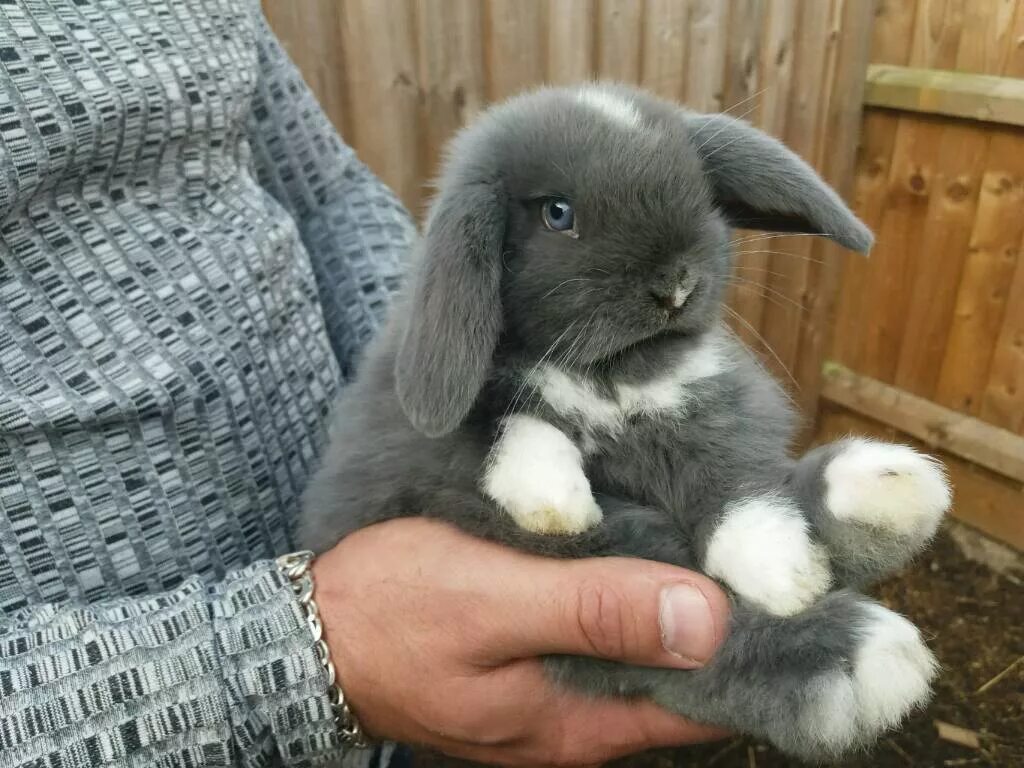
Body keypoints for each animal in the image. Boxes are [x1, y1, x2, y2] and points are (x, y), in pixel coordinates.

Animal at [299, 83, 950, 765]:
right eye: (558, 213)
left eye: (697, 187)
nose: (676, 285)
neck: (613, 374)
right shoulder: (434, 474)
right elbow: (510, 431)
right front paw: (556, 497)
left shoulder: (716, 420)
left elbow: (743, 497)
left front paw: (786, 574)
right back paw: (864, 657)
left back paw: (885, 488)